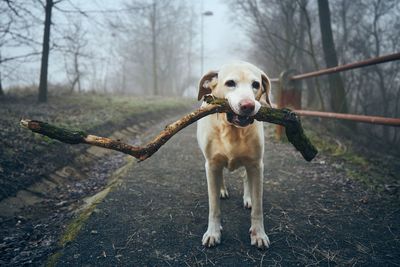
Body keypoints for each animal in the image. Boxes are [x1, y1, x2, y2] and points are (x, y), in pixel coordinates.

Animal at [196, 61, 272, 250]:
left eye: (256, 84)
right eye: (230, 83)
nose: (248, 106)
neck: (232, 130)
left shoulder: (256, 165)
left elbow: (258, 207)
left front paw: (259, 234)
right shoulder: (211, 164)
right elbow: (214, 207)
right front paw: (213, 233)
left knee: (246, 177)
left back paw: (247, 197)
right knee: (221, 176)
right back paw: (222, 190)